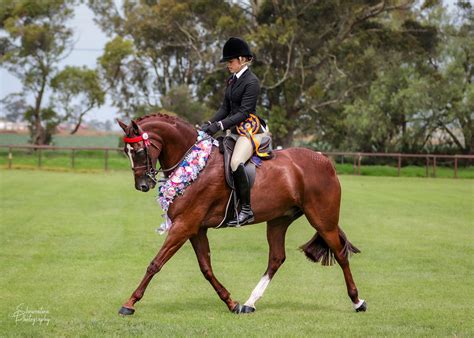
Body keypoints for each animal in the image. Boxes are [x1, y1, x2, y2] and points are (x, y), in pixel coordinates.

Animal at [115, 113, 366, 314]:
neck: (194, 163)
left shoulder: (184, 225)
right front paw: (231, 302)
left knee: (341, 254)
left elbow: (155, 263)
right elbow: (206, 268)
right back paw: (249, 303)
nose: (142, 185)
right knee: (276, 258)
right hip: (279, 220)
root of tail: (324, 160)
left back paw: (357, 301)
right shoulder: (196, 229)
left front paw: (129, 303)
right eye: (126, 152)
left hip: (322, 219)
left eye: (139, 151)